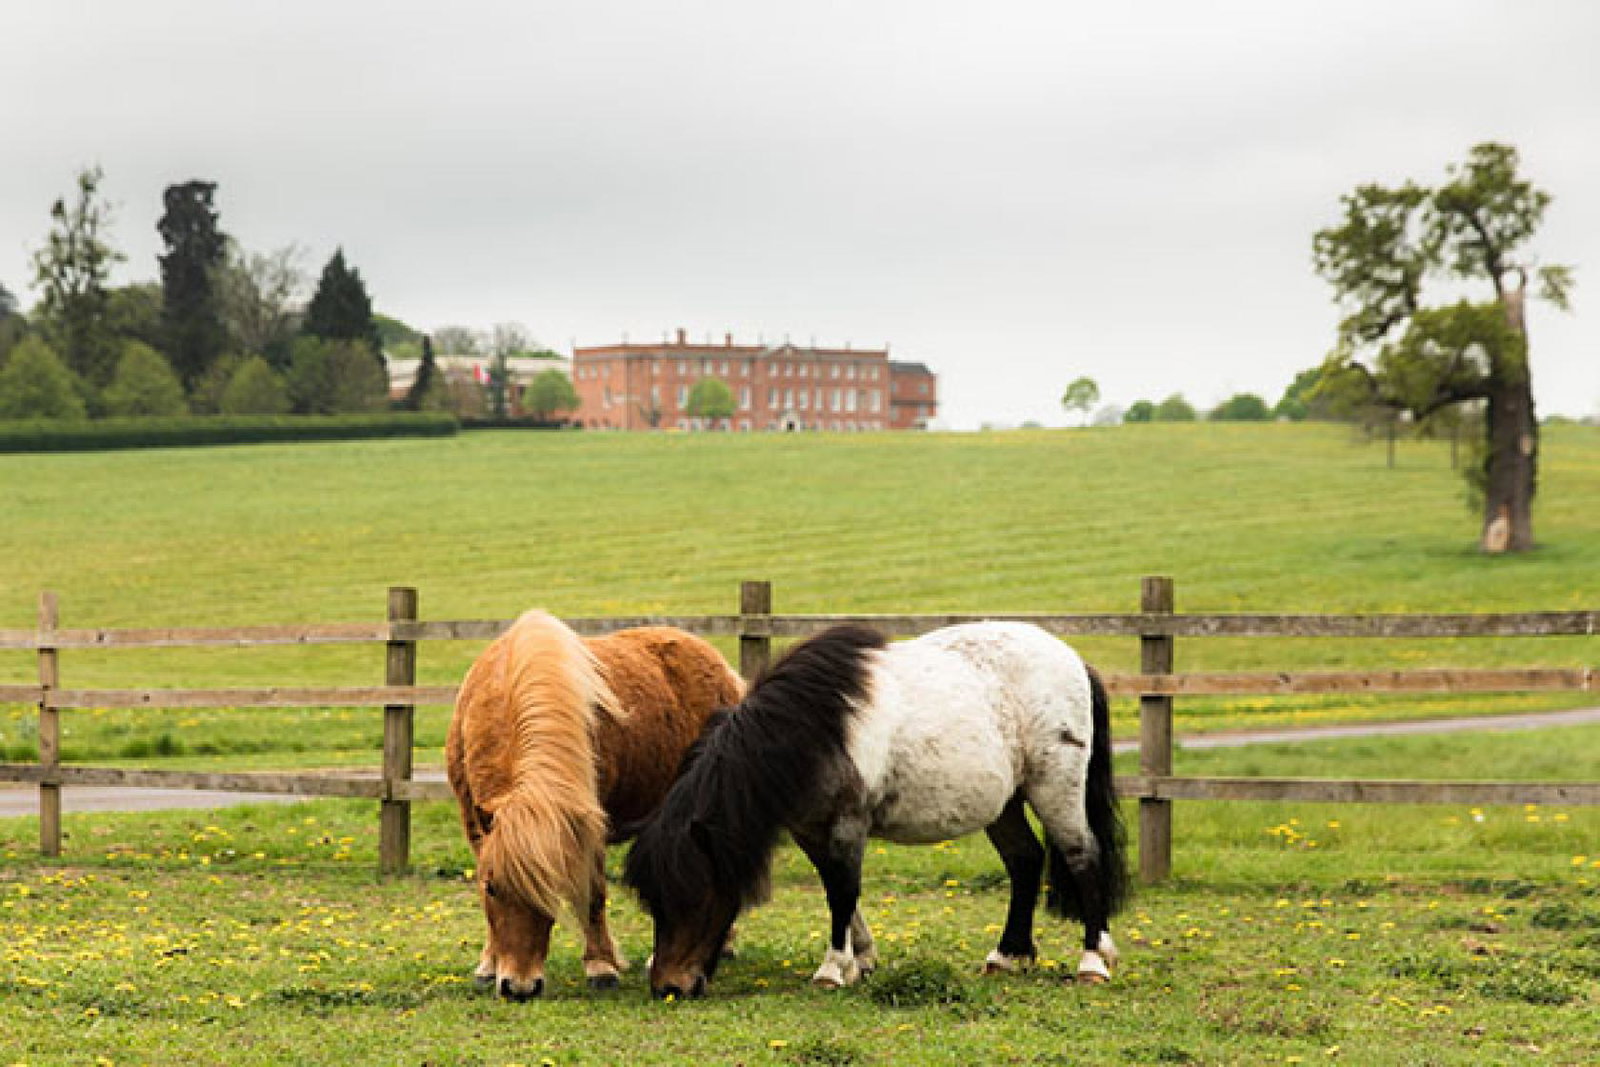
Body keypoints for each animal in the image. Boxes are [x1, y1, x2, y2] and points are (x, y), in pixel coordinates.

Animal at [446, 609, 743, 1000]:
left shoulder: (588, 827)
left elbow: (593, 894)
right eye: (493, 888)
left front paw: (601, 966)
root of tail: (720, 666)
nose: (520, 987)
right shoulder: (475, 822)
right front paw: (488, 964)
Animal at [623, 621, 1127, 999]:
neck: (813, 729)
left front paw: (832, 969)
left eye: (697, 896)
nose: (668, 987)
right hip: (1005, 804)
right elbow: (837, 889)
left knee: (1083, 857)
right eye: (656, 903)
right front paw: (860, 959)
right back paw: (1006, 956)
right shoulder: (810, 830)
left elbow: (842, 890)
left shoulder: (849, 822)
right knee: (1024, 861)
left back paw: (1092, 962)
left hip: (1054, 788)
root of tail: (1072, 660)